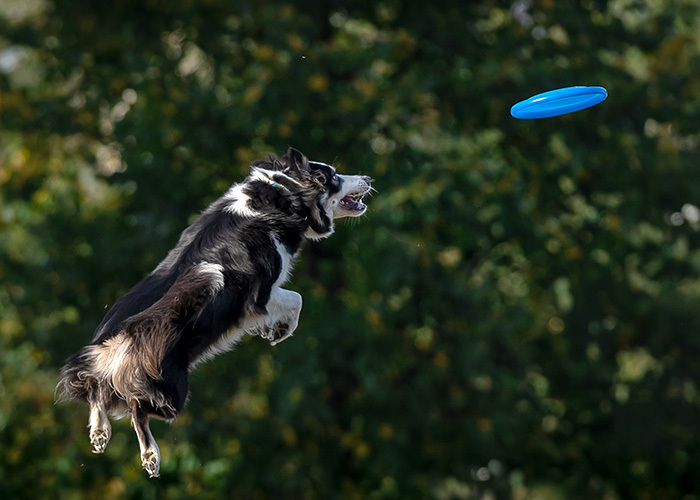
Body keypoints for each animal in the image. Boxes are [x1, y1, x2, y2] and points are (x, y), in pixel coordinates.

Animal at [55, 148, 372, 476]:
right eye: (333, 177)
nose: (368, 177)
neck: (285, 191)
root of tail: (121, 339)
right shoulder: (259, 294)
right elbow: (296, 299)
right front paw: (280, 331)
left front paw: (272, 330)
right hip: (173, 391)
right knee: (136, 408)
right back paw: (151, 455)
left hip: (106, 369)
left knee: (96, 389)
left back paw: (100, 432)